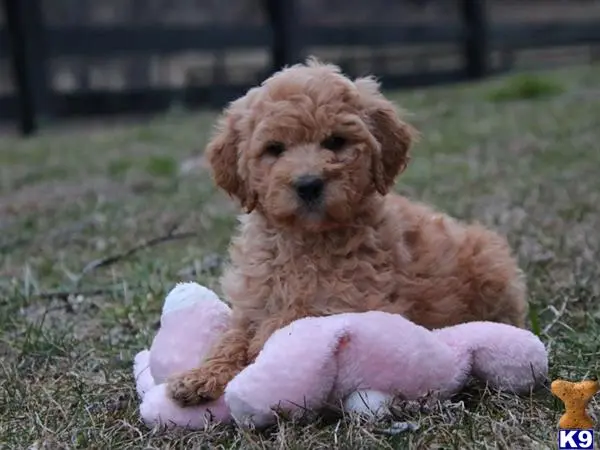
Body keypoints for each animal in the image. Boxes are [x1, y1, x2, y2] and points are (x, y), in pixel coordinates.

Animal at [166, 58, 528, 406]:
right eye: (274, 148)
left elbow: (290, 320)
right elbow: (231, 337)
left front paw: (257, 350)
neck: (306, 239)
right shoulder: (253, 302)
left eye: (336, 141)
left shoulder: (357, 302)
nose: (308, 184)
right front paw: (201, 375)